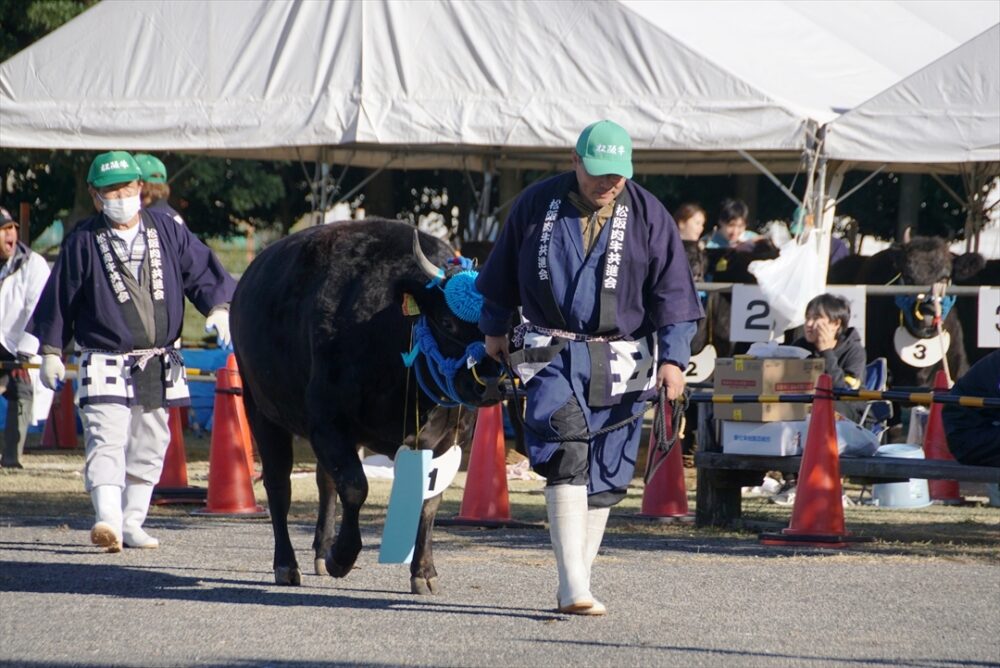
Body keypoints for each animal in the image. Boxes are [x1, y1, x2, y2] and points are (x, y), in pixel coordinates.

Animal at [232, 220, 500, 596]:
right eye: (448, 323)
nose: (490, 382)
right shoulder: (328, 423)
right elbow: (356, 487)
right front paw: (341, 557)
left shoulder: (451, 440)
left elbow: (428, 502)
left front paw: (424, 572)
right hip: (261, 409)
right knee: (279, 485)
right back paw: (287, 564)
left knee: (324, 480)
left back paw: (320, 549)